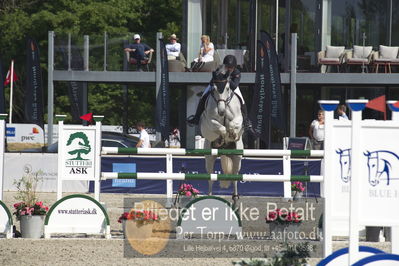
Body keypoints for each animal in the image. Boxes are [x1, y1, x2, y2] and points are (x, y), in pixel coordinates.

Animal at [200, 70, 244, 206]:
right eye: (213, 88)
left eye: (228, 88)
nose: (221, 111)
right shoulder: (210, 121)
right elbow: (221, 128)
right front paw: (221, 139)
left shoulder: (238, 118)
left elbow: (232, 124)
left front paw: (232, 134)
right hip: (209, 157)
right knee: (210, 177)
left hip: (237, 157)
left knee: (235, 177)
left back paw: (235, 198)